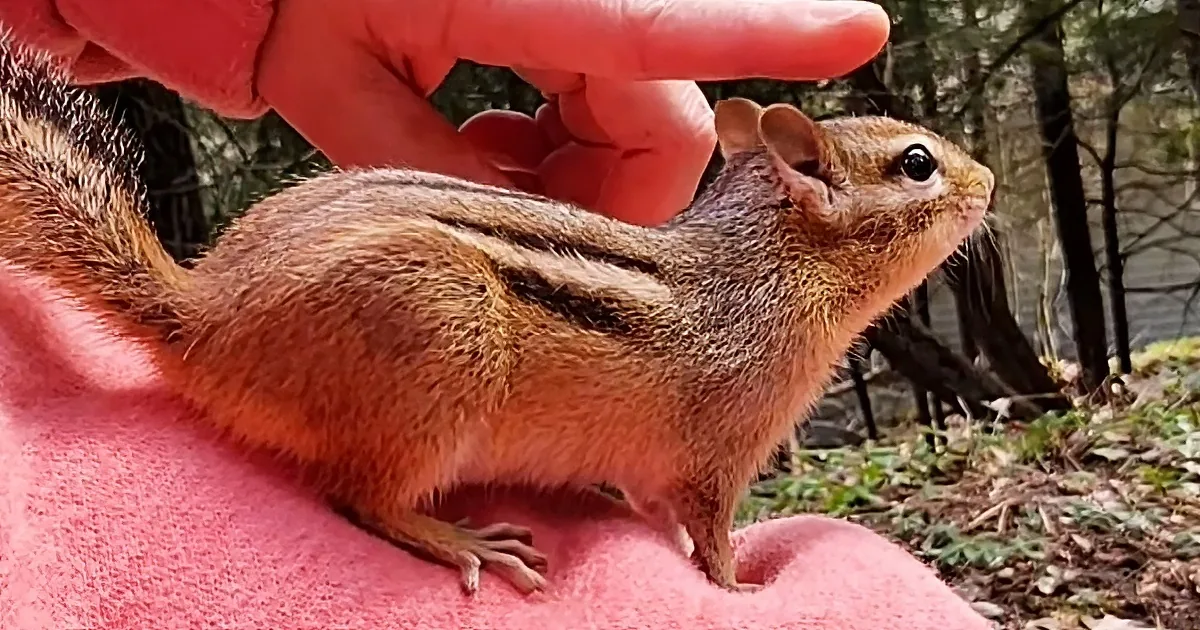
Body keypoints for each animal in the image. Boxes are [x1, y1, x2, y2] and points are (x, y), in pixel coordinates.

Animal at [0, 32, 994, 596]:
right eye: (917, 163)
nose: (986, 181)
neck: (769, 269)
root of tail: (205, 322)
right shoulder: (720, 449)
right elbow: (707, 533)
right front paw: (741, 591)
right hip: (444, 333)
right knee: (359, 496)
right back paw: (461, 540)